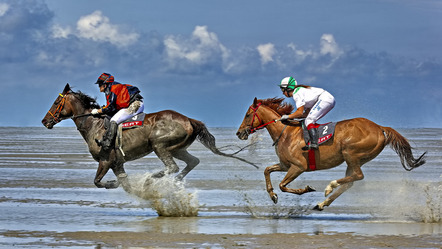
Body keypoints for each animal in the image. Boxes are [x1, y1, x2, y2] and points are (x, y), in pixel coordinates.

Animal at [41, 84, 258, 193]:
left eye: (56, 102)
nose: (45, 121)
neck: (94, 125)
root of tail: (189, 119)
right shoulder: (117, 163)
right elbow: (124, 183)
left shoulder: (106, 160)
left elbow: (98, 181)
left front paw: (113, 184)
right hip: (178, 148)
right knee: (192, 162)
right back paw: (173, 181)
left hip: (159, 145)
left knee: (172, 167)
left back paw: (150, 179)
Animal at [237, 97, 426, 210]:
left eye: (247, 115)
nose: (239, 133)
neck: (286, 133)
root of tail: (379, 127)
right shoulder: (285, 165)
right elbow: (267, 170)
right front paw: (272, 195)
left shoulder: (298, 167)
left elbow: (283, 185)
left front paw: (306, 189)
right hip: (356, 159)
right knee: (351, 180)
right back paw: (322, 203)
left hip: (351, 154)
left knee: (357, 176)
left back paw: (329, 187)